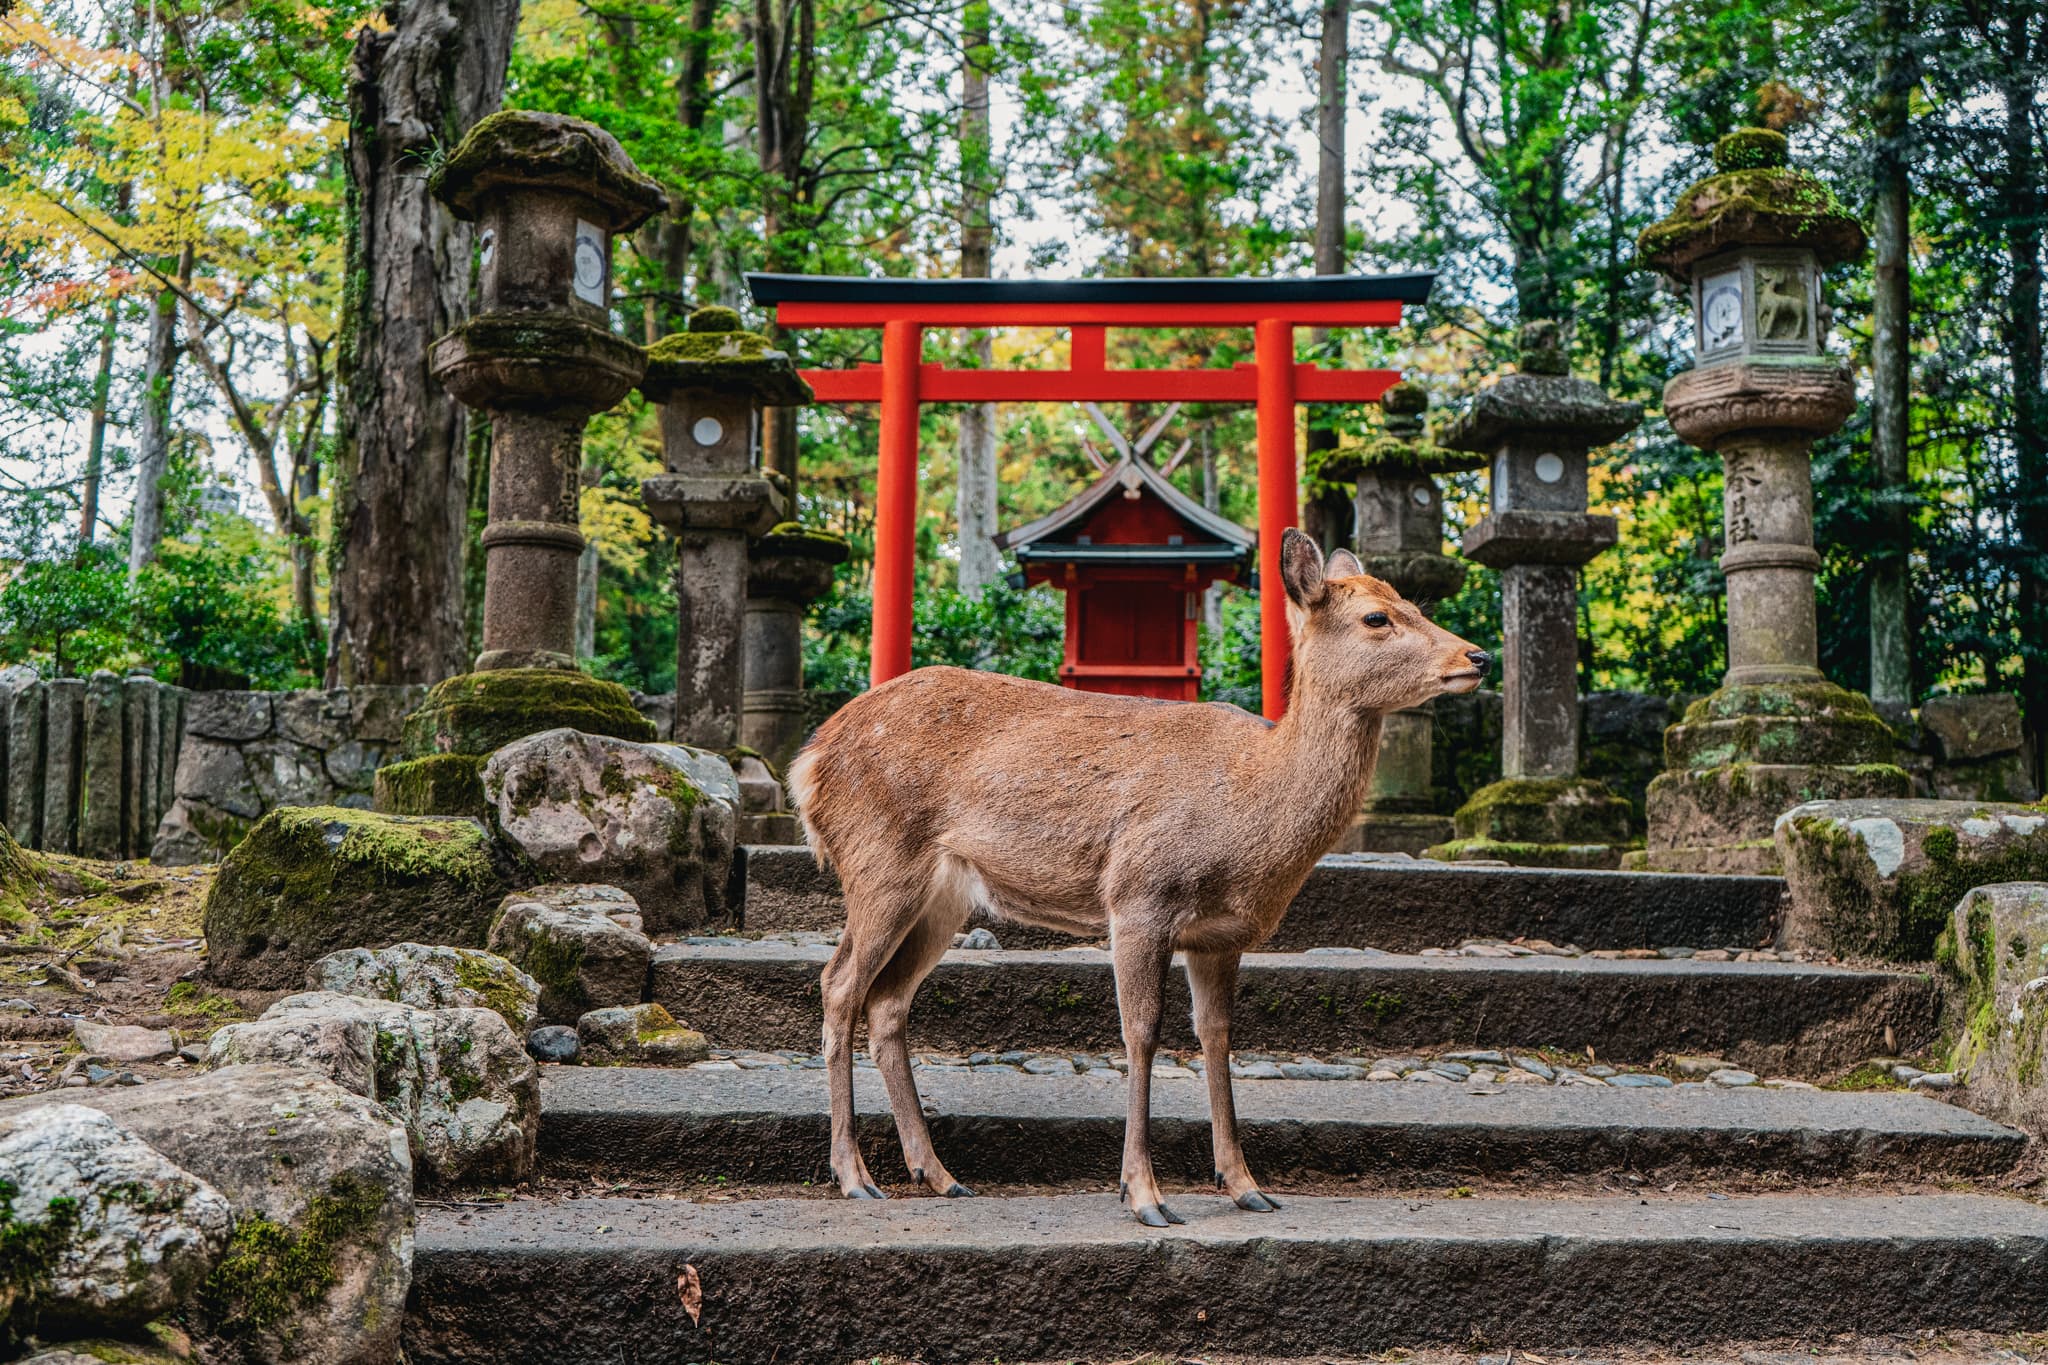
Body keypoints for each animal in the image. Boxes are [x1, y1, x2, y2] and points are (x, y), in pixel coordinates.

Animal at [788, 529, 1490, 1226]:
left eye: (1412, 603)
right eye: (1377, 617)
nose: (1478, 656)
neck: (1251, 817)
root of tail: (809, 760)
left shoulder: (1220, 936)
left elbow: (1218, 1036)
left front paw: (1245, 1185)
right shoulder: (1138, 896)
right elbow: (1142, 1032)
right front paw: (1144, 1194)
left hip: (943, 896)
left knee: (888, 1001)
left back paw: (938, 1174)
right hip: (879, 861)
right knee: (839, 984)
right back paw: (854, 1176)